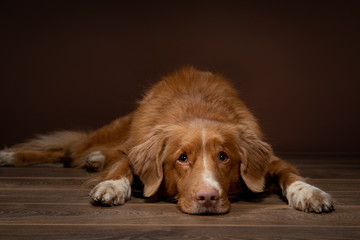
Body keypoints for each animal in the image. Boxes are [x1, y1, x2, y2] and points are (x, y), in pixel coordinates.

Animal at [0, 66, 334, 215]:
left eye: (224, 157)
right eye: (181, 158)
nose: (208, 198)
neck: (198, 110)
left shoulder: (269, 159)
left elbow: (288, 172)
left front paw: (309, 193)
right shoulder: (135, 147)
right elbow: (123, 164)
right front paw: (112, 186)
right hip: (110, 135)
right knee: (67, 151)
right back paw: (9, 156)